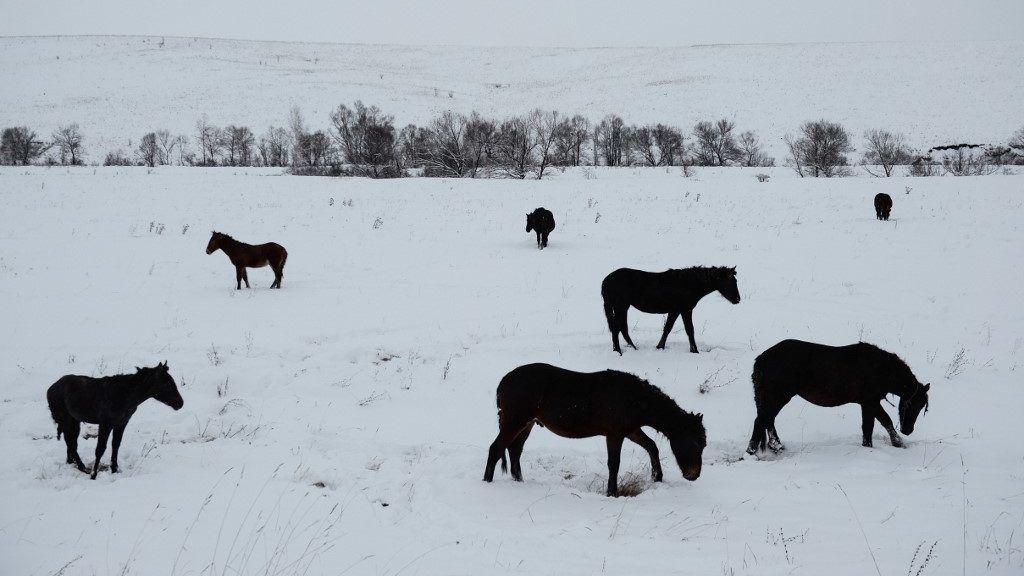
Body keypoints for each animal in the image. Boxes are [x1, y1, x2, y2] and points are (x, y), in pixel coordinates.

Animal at [46, 360, 184, 477]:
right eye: (166, 384)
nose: (180, 403)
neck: (125, 397)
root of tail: (50, 389)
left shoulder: (122, 423)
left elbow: (115, 445)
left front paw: (114, 469)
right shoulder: (105, 423)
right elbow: (100, 449)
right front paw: (94, 475)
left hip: (74, 420)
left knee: (70, 441)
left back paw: (72, 462)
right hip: (67, 419)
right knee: (71, 442)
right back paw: (82, 467)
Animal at [483, 362, 708, 494]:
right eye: (696, 443)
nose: (694, 475)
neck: (634, 399)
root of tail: (504, 381)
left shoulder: (631, 430)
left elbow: (651, 446)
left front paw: (657, 477)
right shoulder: (615, 434)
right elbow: (614, 464)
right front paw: (612, 492)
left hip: (527, 423)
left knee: (514, 450)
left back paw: (519, 482)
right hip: (516, 421)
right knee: (496, 448)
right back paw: (487, 482)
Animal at [598, 266, 741, 354]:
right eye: (730, 282)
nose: (737, 299)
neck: (689, 284)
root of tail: (606, 281)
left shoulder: (675, 310)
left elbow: (667, 328)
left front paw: (659, 347)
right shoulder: (685, 309)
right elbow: (690, 330)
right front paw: (694, 350)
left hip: (623, 307)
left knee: (622, 328)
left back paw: (633, 348)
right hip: (620, 306)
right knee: (617, 328)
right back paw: (618, 351)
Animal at [749, 336, 933, 453]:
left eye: (922, 406)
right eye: (911, 403)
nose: (908, 430)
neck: (880, 369)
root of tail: (761, 360)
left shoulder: (866, 404)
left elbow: (868, 427)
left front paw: (868, 447)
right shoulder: (871, 402)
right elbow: (884, 421)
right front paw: (898, 443)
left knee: (768, 420)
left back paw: (776, 447)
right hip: (778, 396)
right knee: (762, 421)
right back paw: (752, 452)